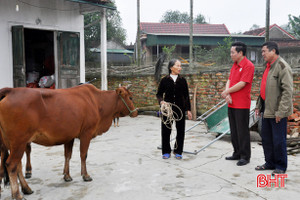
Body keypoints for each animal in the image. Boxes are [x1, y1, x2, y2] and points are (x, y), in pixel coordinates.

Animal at [0, 85, 138, 200]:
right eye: (130, 97)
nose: (137, 111)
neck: (96, 101)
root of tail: (11, 90)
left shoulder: (69, 136)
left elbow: (67, 155)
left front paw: (67, 175)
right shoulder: (86, 133)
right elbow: (83, 155)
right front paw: (85, 175)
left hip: (14, 143)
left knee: (17, 165)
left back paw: (26, 188)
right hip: (19, 142)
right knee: (11, 164)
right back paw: (17, 194)